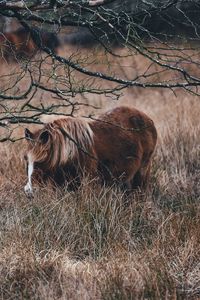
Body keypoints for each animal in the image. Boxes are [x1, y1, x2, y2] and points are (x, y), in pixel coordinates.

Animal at [23, 106, 158, 197]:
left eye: (40, 162)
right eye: (26, 160)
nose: (28, 191)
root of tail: (149, 120)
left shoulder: (87, 183)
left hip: (142, 172)